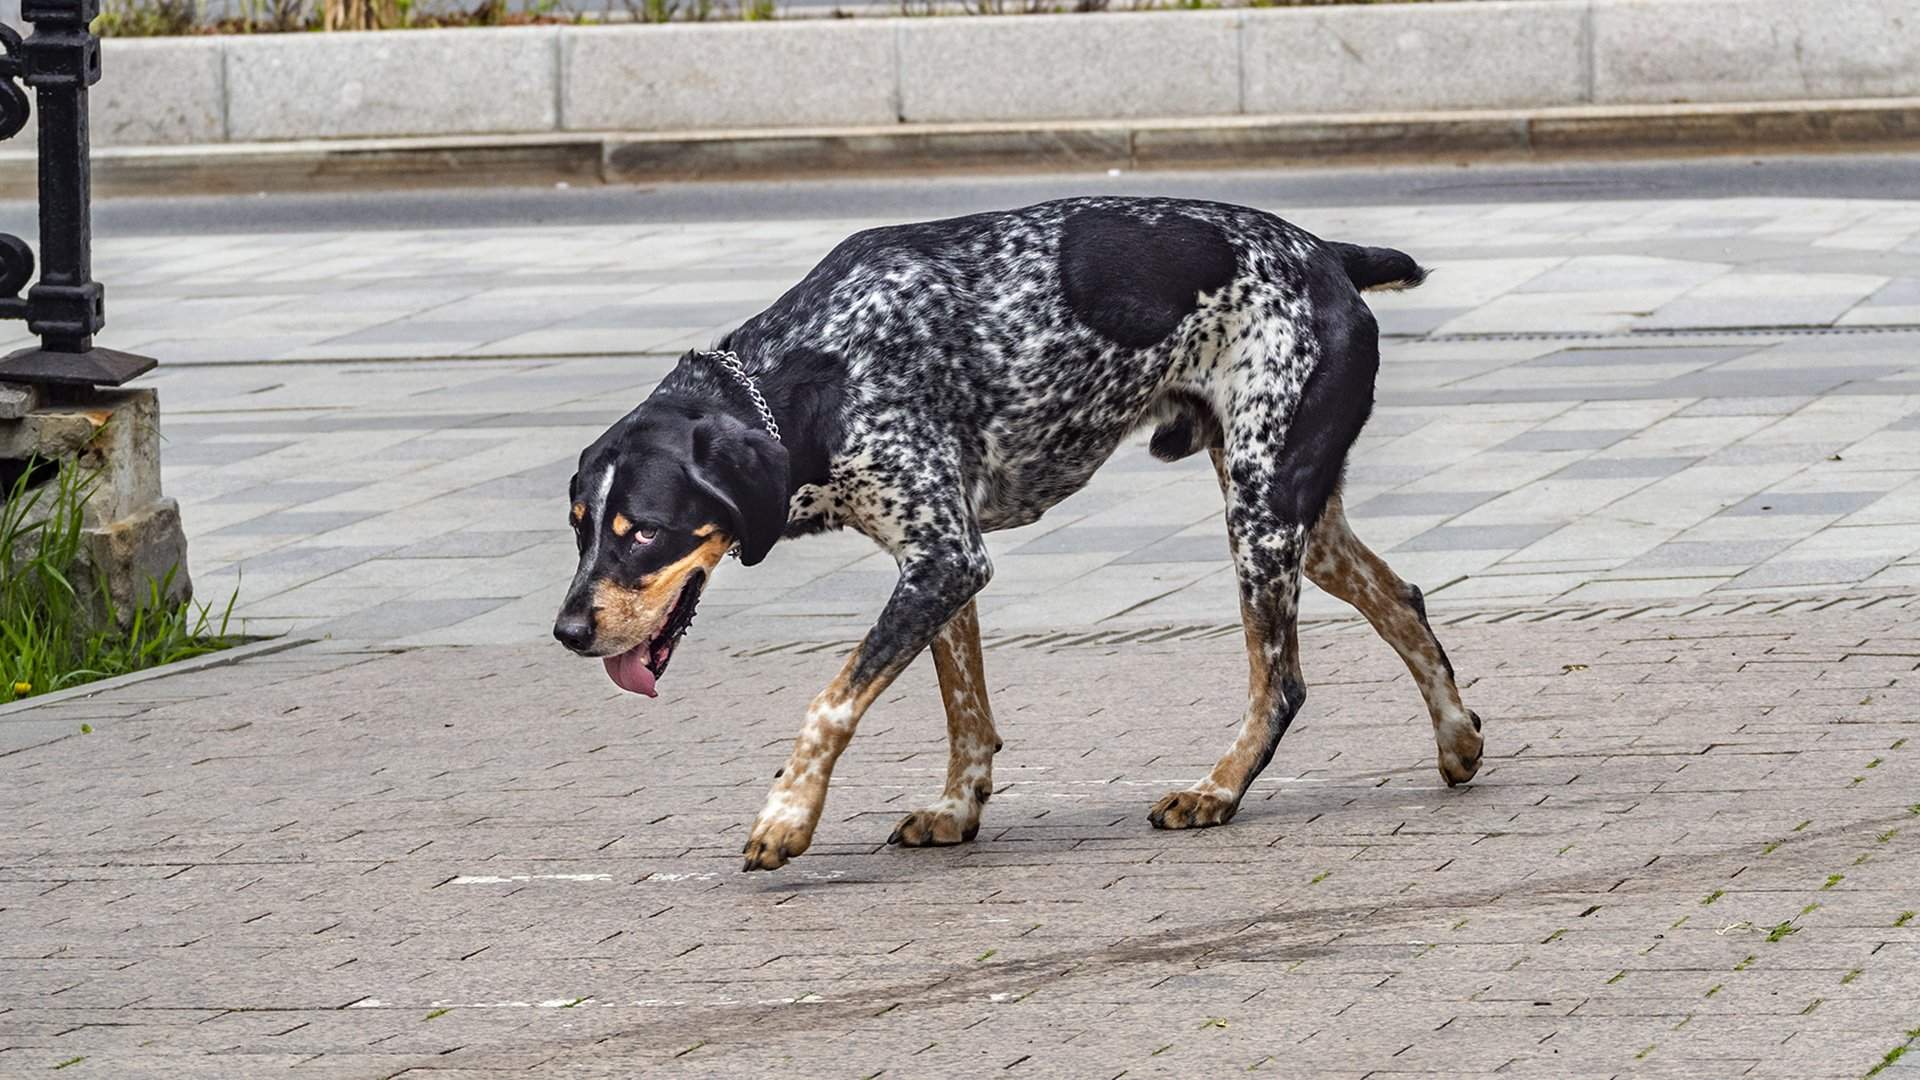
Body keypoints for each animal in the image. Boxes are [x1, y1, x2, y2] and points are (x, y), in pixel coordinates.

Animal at [556, 195, 1482, 864]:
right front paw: (957, 807)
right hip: (1296, 519)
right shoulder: (939, 564)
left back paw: (1217, 791)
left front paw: (788, 812)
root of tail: (1327, 253)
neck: (816, 370)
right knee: (1402, 600)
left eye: (645, 531)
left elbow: (830, 704)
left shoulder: (943, 561)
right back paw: (1456, 739)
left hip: (1261, 511)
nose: (566, 632)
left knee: (1281, 684)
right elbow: (965, 710)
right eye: (580, 527)